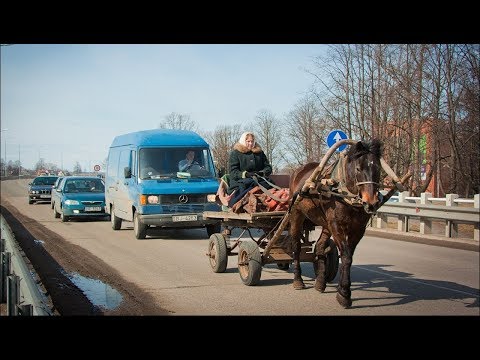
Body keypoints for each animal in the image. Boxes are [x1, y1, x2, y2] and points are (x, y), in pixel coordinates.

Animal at [286, 139, 406, 308]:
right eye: (358, 168)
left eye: (377, 168)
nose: (371, 203)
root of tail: (300, 171)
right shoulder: (337, 226)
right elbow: (346, 256)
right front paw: (344, 294)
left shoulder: (358, 229)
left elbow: (348, 257)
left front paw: (342, 291)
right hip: (297, 214)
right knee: (296, 246)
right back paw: (298, 280)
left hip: (325, 223)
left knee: (321, 247)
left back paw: (320, 282)